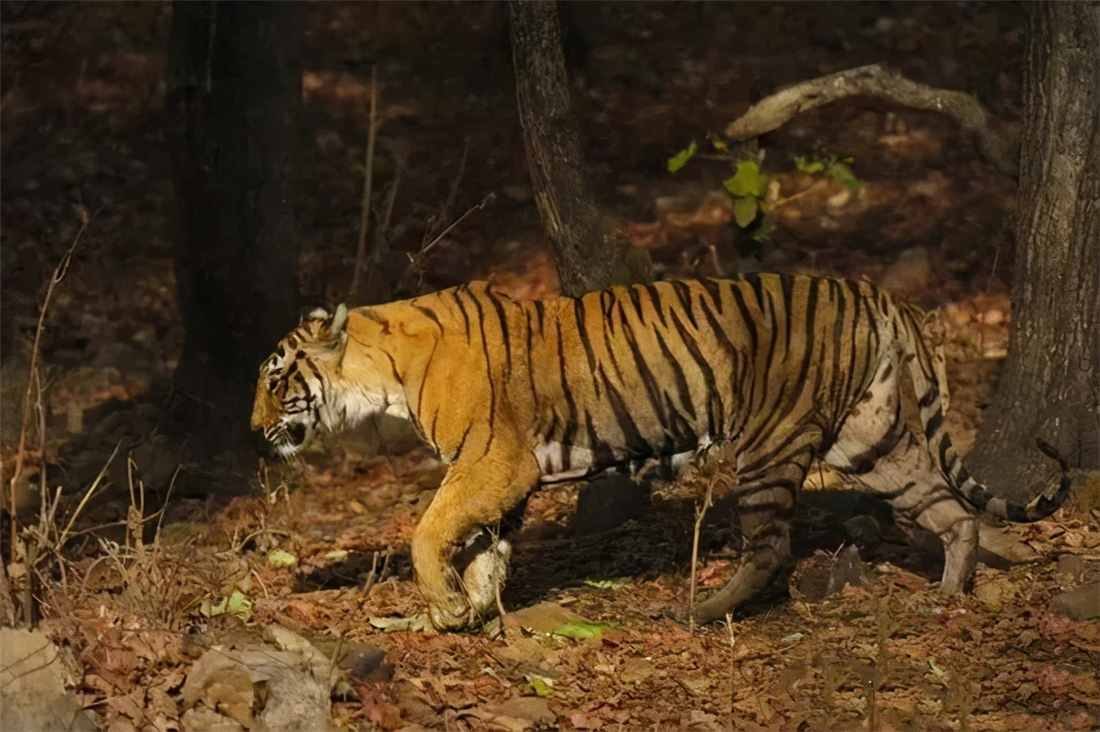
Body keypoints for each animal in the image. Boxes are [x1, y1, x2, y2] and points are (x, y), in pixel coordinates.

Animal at [253, 272, 1069, 629]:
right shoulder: (505, 476)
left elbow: (429, 531)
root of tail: (878, 291)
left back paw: (698, 610)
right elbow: (485, 547)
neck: (379, 374)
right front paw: (472, 612)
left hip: (769, 442)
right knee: (952, 511)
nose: (254, 429)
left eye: (273, 377)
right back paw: (947, 597)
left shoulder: (495, 460)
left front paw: (448, 605)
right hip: (869, 440)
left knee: (770, 547)